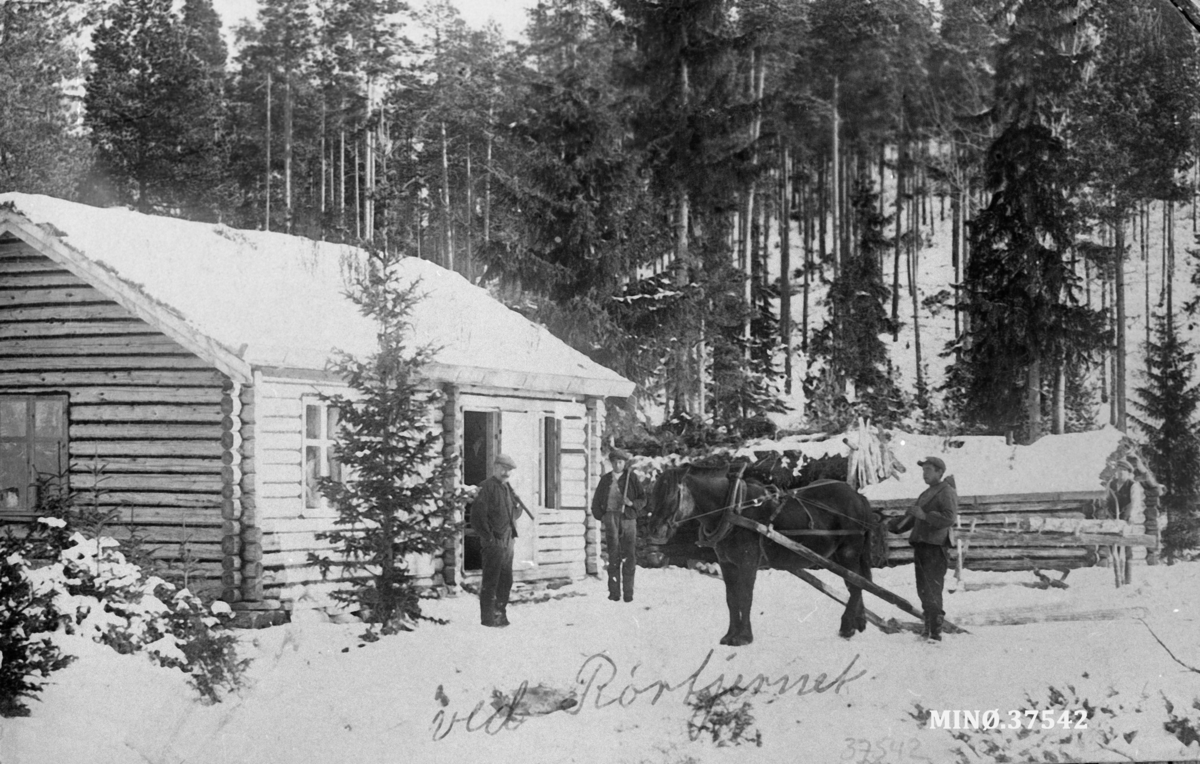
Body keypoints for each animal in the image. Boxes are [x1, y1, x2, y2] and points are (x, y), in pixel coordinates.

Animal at [648, 465, 873, 642]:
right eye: (654, 494)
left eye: (670, 495)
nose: (654, 531)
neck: (733, 508)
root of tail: (858, 496)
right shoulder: (727, 563)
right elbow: (731, 599)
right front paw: (730, 635)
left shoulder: (748, 562)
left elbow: (746, 597)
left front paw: (744, 637)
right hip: (839, 556)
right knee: (855, 584)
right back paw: (858, 623)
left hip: (849, 552)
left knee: (855, 585)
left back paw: (847, 627)